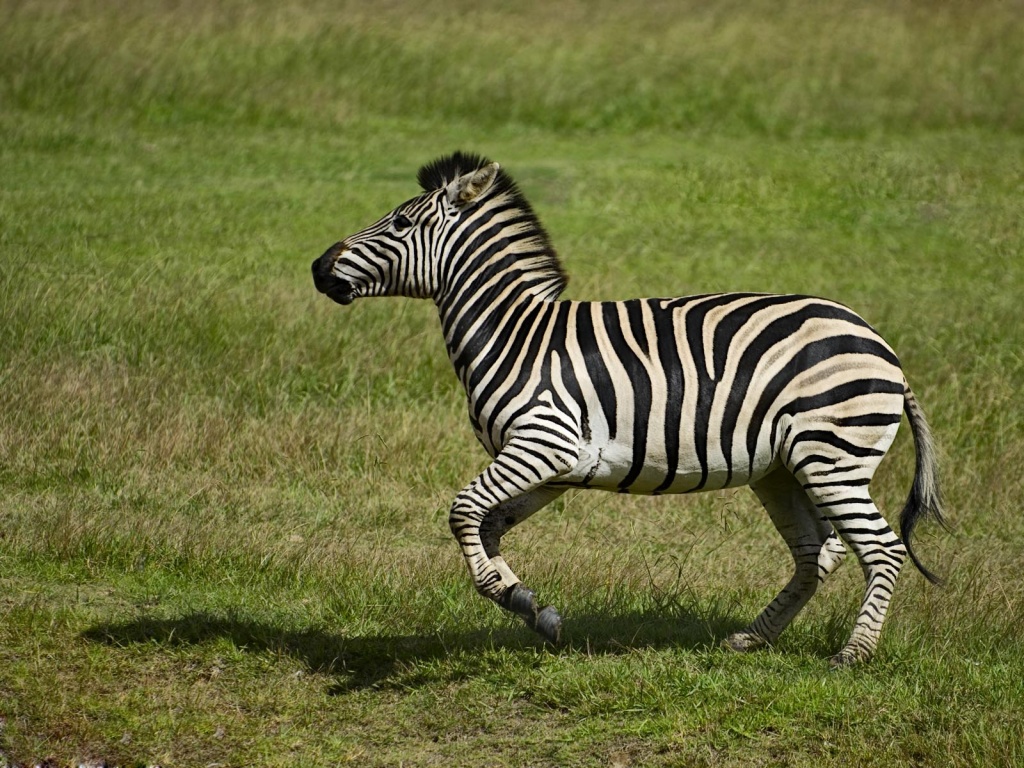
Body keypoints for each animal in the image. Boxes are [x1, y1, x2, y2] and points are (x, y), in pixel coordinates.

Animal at [311, 151, 946, 666]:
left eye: (400, 223)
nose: (318, 266)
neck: (514, 333)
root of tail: (880, 344)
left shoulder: (544, 442)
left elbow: (463, 511)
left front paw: (508, 592)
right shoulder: (554, 466)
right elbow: (489, 526)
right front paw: (530, 606)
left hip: (831, 458)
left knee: (881, 549)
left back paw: (853, 654)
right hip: (783, 470)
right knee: (816, 553)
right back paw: (753, 638)